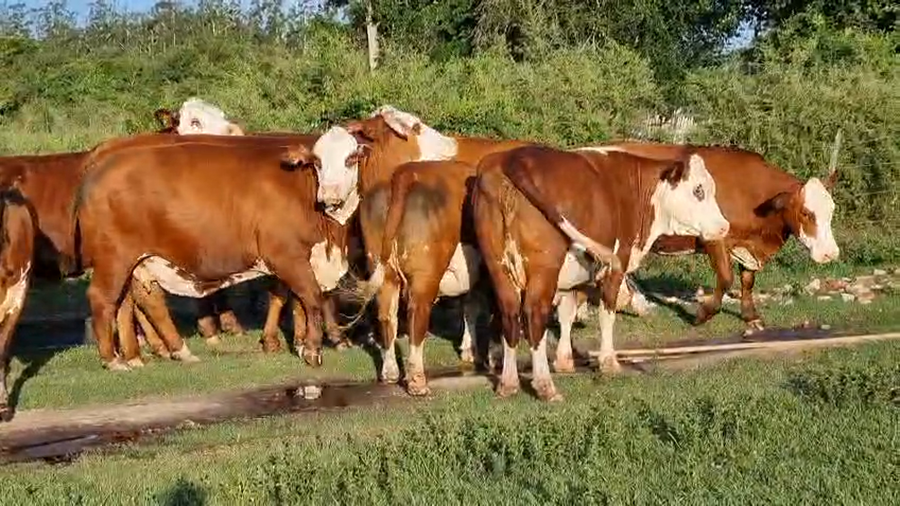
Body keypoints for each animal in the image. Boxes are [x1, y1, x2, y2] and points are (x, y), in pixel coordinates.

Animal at [472, 144, 730, 401]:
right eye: (698, 190)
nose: (724, 226)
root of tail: (512, 157)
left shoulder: (571, 279)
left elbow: (567, 314)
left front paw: (565, 362)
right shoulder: (617, 263)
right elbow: (607, 314)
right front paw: (608, 362)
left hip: (498, 265)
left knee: (509, 315)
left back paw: (508, 383)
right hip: (544, 268)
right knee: (534, 315)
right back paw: (545, 386)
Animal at [598, 142, 839, 331]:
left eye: (832, 209)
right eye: (806, 213)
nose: (831, 253)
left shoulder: (747, 247)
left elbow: (747, 280)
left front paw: (751, 317)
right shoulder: (715, 238)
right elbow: (726, 278)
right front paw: (703, 314)